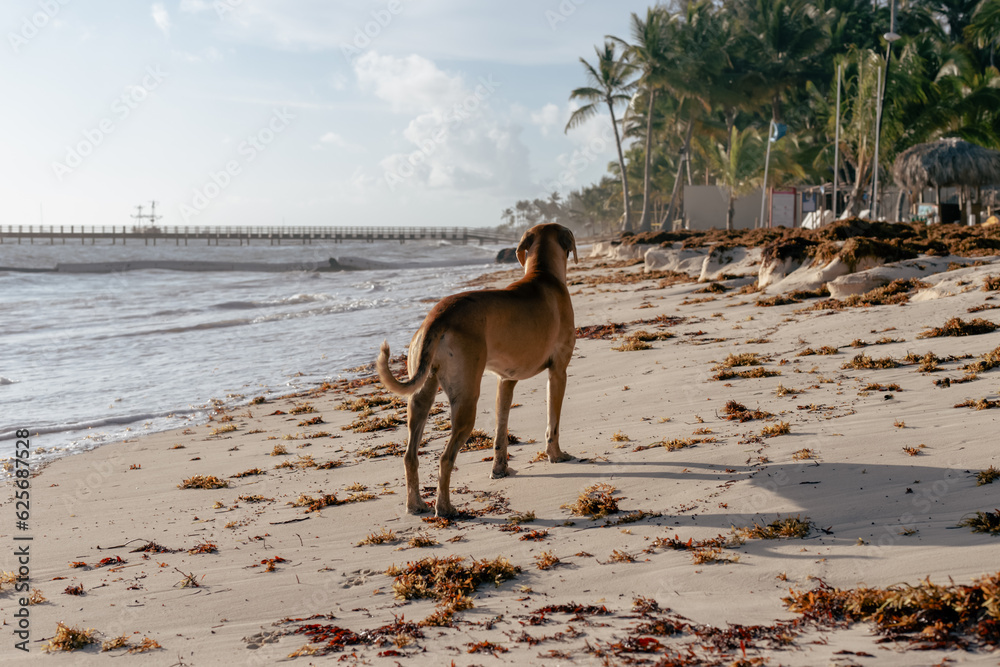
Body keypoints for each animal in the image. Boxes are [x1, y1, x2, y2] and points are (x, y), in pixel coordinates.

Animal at [376, 223, 580, 516]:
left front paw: (500, 469)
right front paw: (557, 456)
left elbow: (500, 431)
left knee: (410, 455)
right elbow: (553, 423)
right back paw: (445, 507)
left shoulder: (505, 382)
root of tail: (439, 315)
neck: (543, 274)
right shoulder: (558, 372)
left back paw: (416, 505)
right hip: (465, 400)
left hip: (420, 398)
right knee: (445, 457)